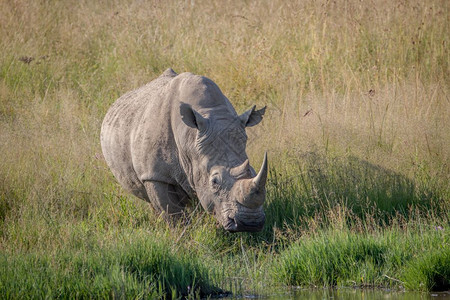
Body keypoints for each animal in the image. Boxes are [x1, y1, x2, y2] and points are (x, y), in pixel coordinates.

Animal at [100, 68, 266, 232]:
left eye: (253, 171)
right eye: (214, 181)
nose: (250, 224)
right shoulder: (155, 175)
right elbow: (173, 215)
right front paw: (181, 236)